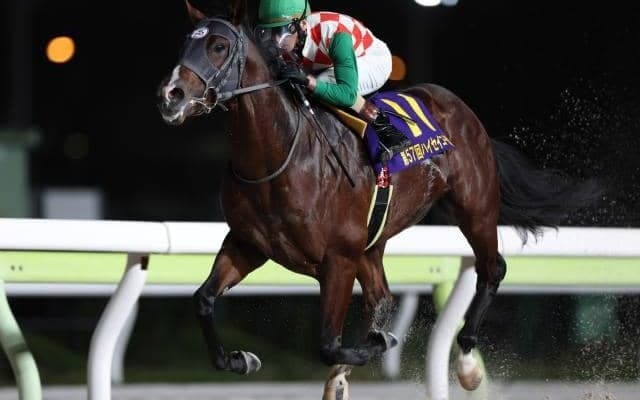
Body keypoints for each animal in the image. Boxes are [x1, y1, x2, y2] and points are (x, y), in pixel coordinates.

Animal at [157, 0, 601, 396]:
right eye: (184, 44)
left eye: (218, 45)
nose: (170, 94)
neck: (277, 156)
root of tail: (461, 110)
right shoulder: (249, 244)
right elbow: (203, 300)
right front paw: (240, 359)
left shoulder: (338, 258)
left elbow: (329, 343)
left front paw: (377, 345)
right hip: (374, 241)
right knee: (382, 296)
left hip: (474, 207)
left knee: (492, 269)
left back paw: (467, 365)